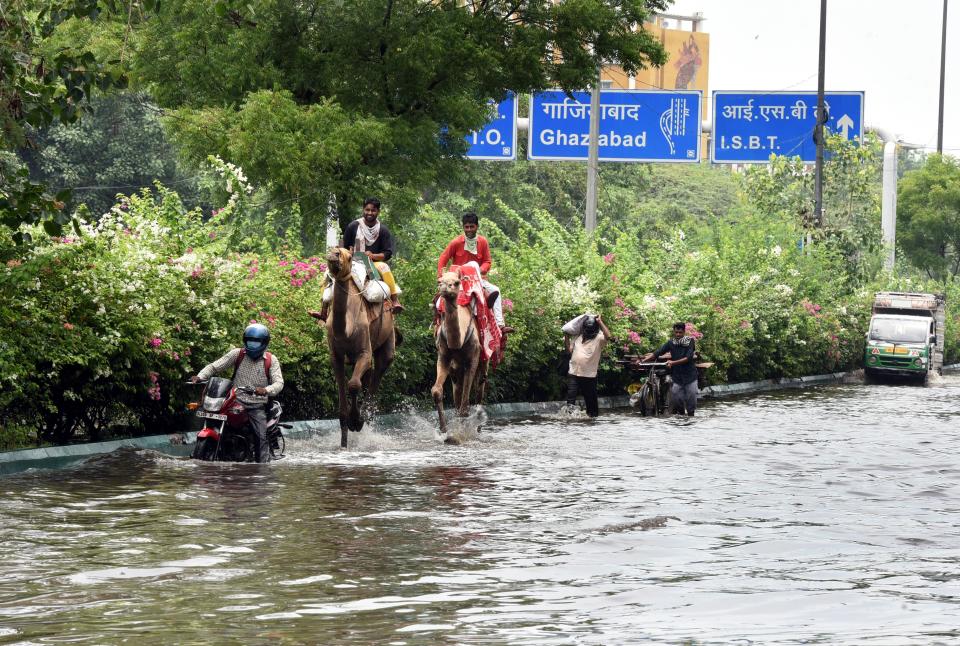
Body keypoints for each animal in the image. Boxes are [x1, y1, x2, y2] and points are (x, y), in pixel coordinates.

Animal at [312, 249, 394, 450]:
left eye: (348, 257)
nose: (334, 254)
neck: (346, 329)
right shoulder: (335, 356)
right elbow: (343, 394)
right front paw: (344, 441)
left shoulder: (364, 352)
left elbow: (354, 384)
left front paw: (356, 420)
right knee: (369, 377)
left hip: (388, 338)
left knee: (379, 370)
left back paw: (365, 418)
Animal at [434, 264, 506, 440]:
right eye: (439, 280)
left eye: (457, 282)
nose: (444, 287)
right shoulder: (444, 357)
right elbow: (437, 392)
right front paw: (444, 432)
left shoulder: (472, 358)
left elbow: (466, 405)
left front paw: (460, 434)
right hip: (456, 371)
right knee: (458, 395)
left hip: (483, 363)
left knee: (479, 392)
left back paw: (477, 430)